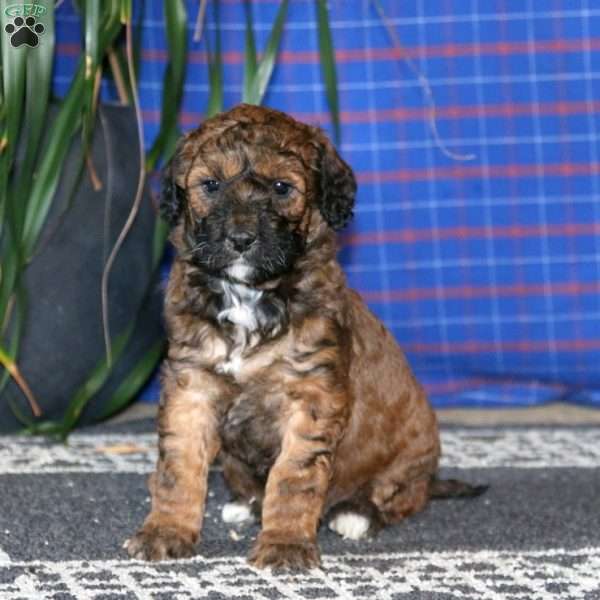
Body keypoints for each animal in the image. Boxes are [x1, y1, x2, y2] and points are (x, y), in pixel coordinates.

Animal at [125, 105, 482, 568]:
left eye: (282, 187)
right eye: (211, 185)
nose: (241, 239)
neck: (251, 295)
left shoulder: (310, 394)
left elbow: (294, 476)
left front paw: (285, 543)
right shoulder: (191, 384)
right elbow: (178, 465)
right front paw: (166, 530)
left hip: (412, 454)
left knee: (401, 496)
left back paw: (356, 513)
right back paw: (246, 503)